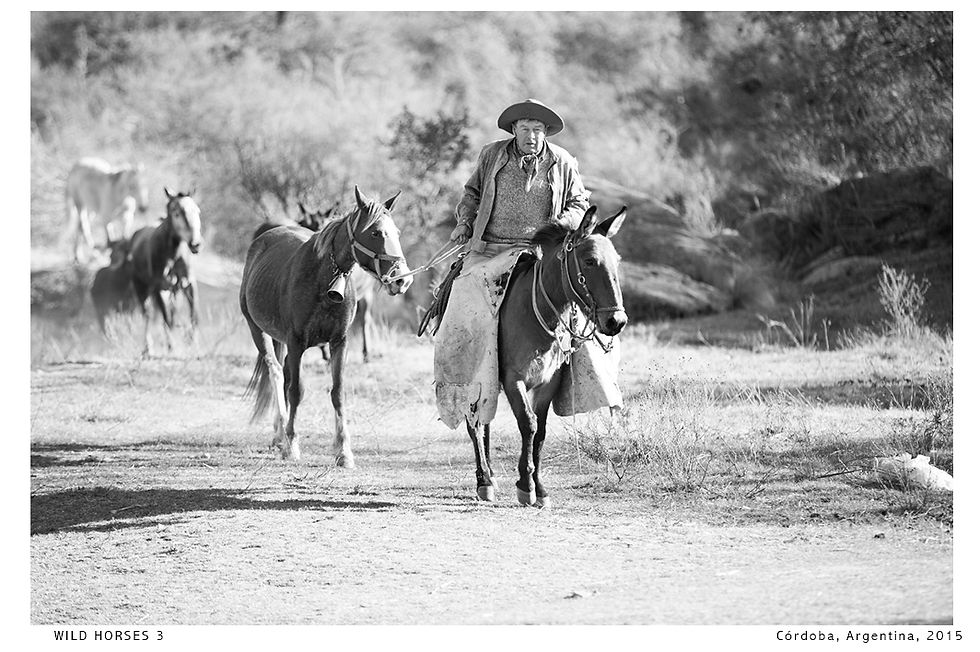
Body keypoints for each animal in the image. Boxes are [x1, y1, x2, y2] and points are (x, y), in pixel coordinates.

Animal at [128, 188, 203, 355]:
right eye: (176, 213)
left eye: (197, 211)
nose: (195, 243)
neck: (174, 254)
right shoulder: (161, 287)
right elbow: (166, 318)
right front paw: (172, 347)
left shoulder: (189, 283)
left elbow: (193, 315)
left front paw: (194, 345)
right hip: (141, 286)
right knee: (147, 314)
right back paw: (148, 349)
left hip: (174, 290)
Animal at [240, 187, 412, 466]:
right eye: (375, 232)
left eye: (396, 232)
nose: (402, 280)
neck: (324, 278)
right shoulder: (296, 343)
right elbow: (296, 390)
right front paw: (292, 444)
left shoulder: (339, 341)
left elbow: (337, 392)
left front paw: (343, 450)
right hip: (258, 331)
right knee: (276, 372)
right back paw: (281, 433)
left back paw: (279, 433)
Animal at [467, 205, 628, 508]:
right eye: (590, 261)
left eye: (617, 261)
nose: (616, 321)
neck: (537, 311)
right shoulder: (513, 380)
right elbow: (528, 424)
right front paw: (525, 484)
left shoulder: (549, 382)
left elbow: (539, 431)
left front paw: (538, 487)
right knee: (475, 423)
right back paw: (484, 480)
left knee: (485, 420)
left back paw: (491, 475)